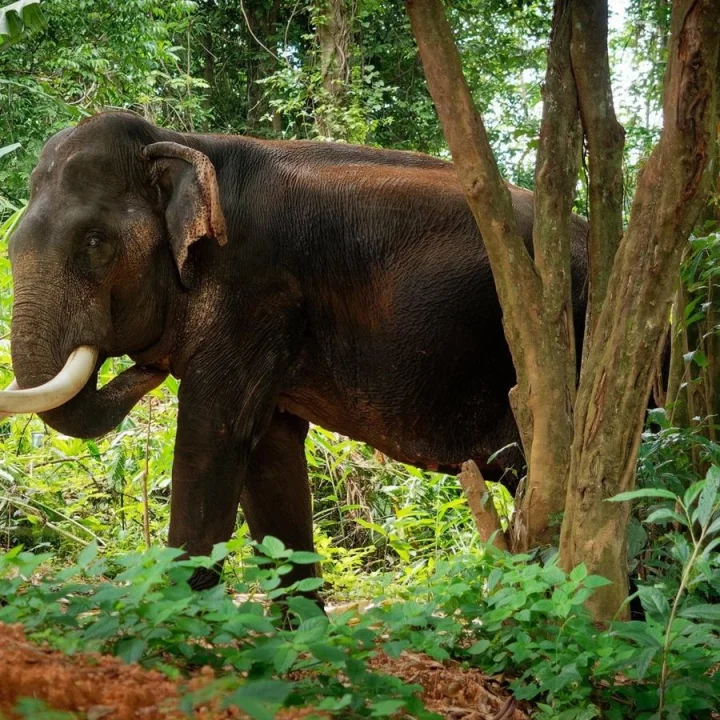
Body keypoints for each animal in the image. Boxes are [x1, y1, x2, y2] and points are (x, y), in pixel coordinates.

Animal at [0, 112, 588, 597]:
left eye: (94, 243)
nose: (146, 368)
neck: (183, 141)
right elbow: (269, 454)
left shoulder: (256, 294)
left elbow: (212, 438)